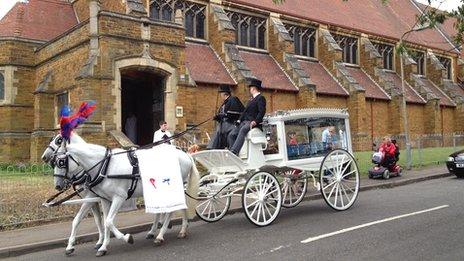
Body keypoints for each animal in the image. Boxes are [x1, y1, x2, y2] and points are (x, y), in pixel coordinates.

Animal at [54, 137, 199, 255]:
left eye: (61, 162)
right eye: (53, 162)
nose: (57, 185)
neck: (105, 166)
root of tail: (185, 154)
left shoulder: (119, 198)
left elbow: (108, 221)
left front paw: (126, 238)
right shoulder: (104, 199)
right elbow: (105, 222)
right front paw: (103, 247)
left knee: (171, 210)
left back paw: (161, 235)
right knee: (177, 208)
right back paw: (175, 231)